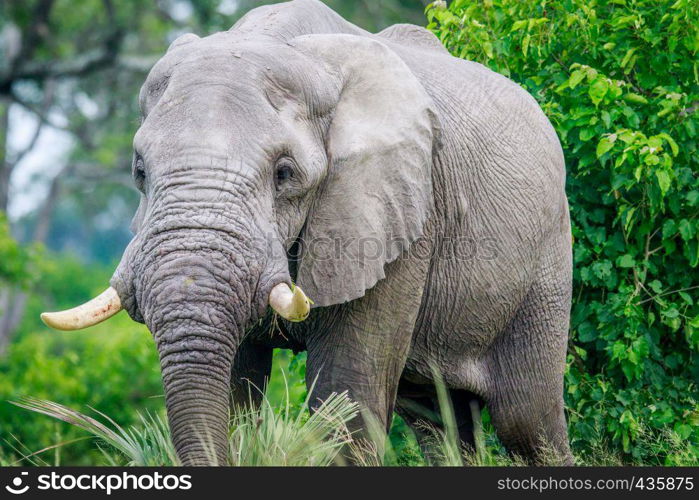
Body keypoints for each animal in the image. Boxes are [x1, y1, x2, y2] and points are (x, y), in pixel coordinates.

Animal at [39, 0, 576, 466]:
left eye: (285, 174)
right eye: (139, 171)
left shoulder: (398, 215)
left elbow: (348, 395)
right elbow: (236, 387)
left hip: (547, 261)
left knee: (526, 420)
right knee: (437, 418)